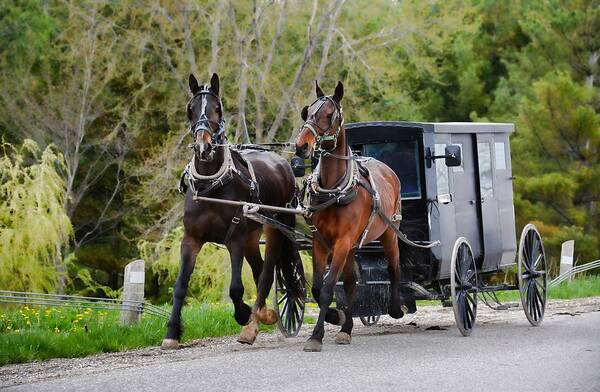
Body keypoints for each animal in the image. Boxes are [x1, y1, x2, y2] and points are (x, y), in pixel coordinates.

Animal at [162, 73, 302, 350]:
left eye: (218, 108)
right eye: (190, 109)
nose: (203, 147)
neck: (212, 185)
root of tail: (282, 161)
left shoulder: (234, 238)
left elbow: (236, 288)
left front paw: (243, 314)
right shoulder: (191, 239)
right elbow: (180, 286)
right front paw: (172, 332)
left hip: (275, 227)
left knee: (270, 272)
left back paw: (258, 319)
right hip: (251, 236)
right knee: (260, 271)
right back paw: (262, 316)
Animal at [296, 79, 408, 352]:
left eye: (329, 115)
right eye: (307, 112)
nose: (301, 145)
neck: (335, 189)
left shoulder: (343, 241)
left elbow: (327, 288)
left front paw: (316, 336)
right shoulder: (321, 242)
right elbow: (318, 288)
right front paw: (336, 317)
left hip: (388, 233)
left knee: (393, 267)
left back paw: (395, 308)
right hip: (351, 246)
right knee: (351, 281)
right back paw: (345, 329)